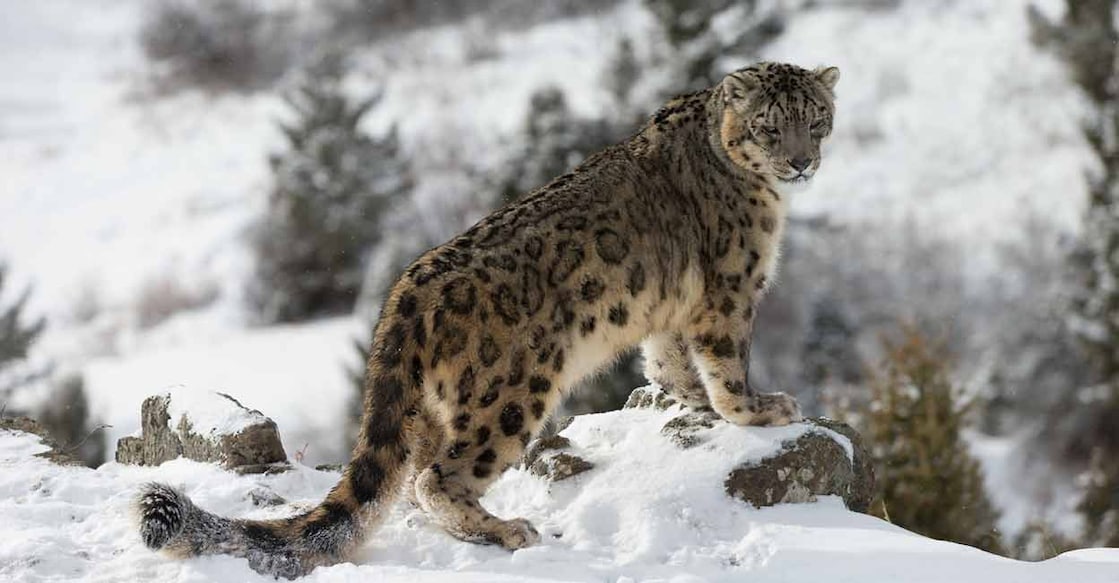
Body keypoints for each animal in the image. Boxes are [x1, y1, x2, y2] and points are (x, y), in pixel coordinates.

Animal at [135, 61, 840, 578]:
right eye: (770, 128)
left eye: (816, 120)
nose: (802, 162)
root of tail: (405, 292)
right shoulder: (731, 288)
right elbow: (727, 360)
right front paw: (759, 410)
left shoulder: (672, 306)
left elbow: (667, 359)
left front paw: (687, 401)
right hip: (512, 392)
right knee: (436, 477)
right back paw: (507, 530)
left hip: (432, 408)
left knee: (410, 478)